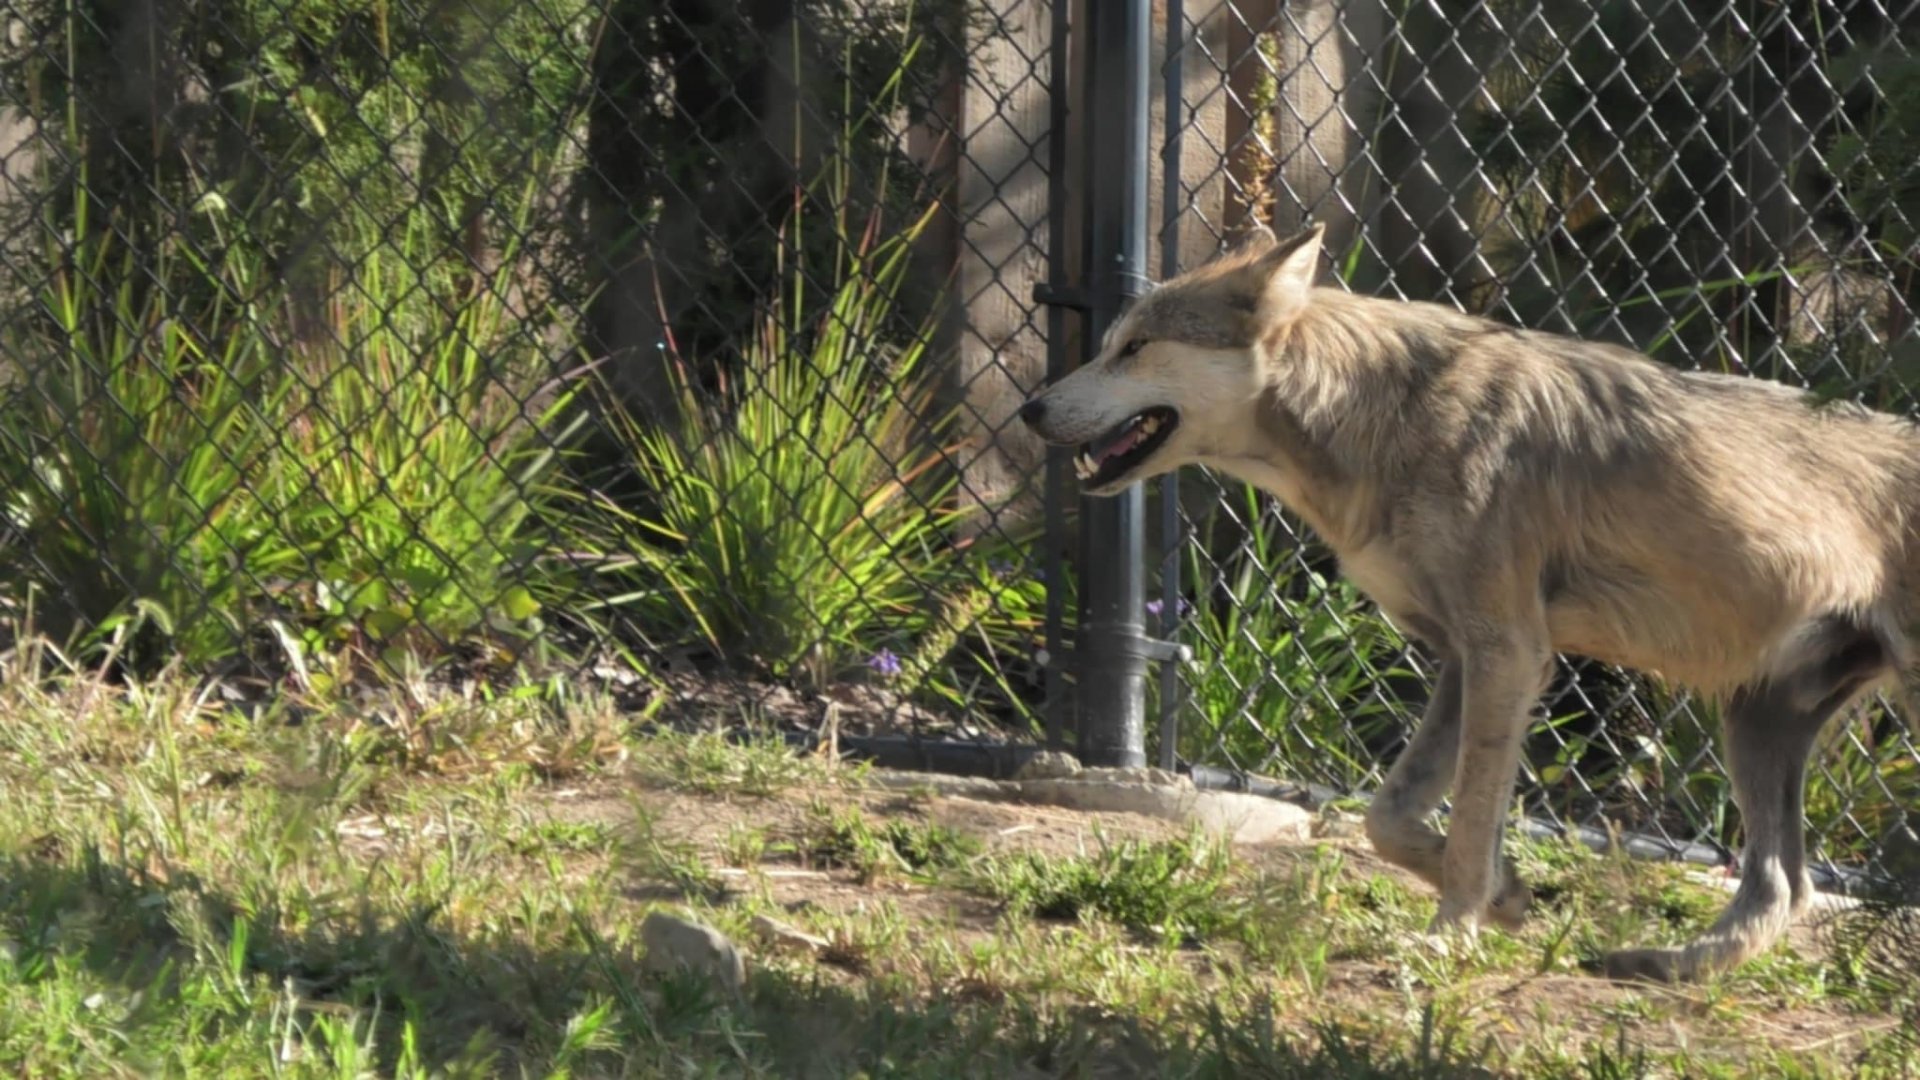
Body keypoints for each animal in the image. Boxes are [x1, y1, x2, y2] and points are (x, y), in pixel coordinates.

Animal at [1017, 222, 1920, 983]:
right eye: (1110, 345)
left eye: (1134, 348)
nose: (1029, 408)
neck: (1381, 413)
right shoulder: (1460, 656)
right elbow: (1390, 819)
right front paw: (1508, 898)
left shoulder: (1507, 655)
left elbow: (1469, 824)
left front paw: (1450, 937)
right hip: (1755, 722)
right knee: (1783, 885)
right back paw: (1660, 964)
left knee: (1788, 882)